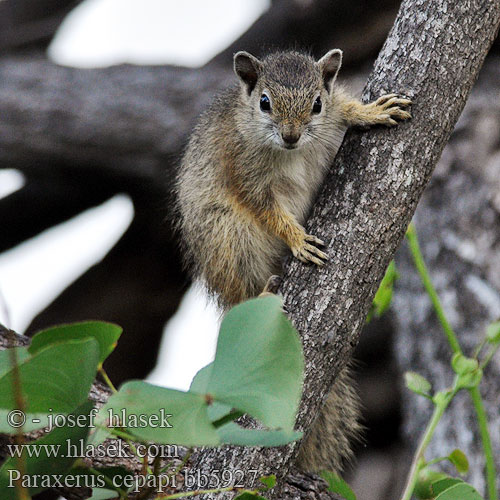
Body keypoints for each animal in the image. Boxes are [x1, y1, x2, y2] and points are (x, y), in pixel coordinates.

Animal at [176, 49, 410, 472]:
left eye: (317, 103)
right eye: (264, 102)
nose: (290, 135)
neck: (292, 152)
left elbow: (345, 106)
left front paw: (369, 111)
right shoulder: (243, 170)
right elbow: (266, 210)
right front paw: (298, 239)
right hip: (230, 239)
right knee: (243, 291)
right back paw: (263, 293)